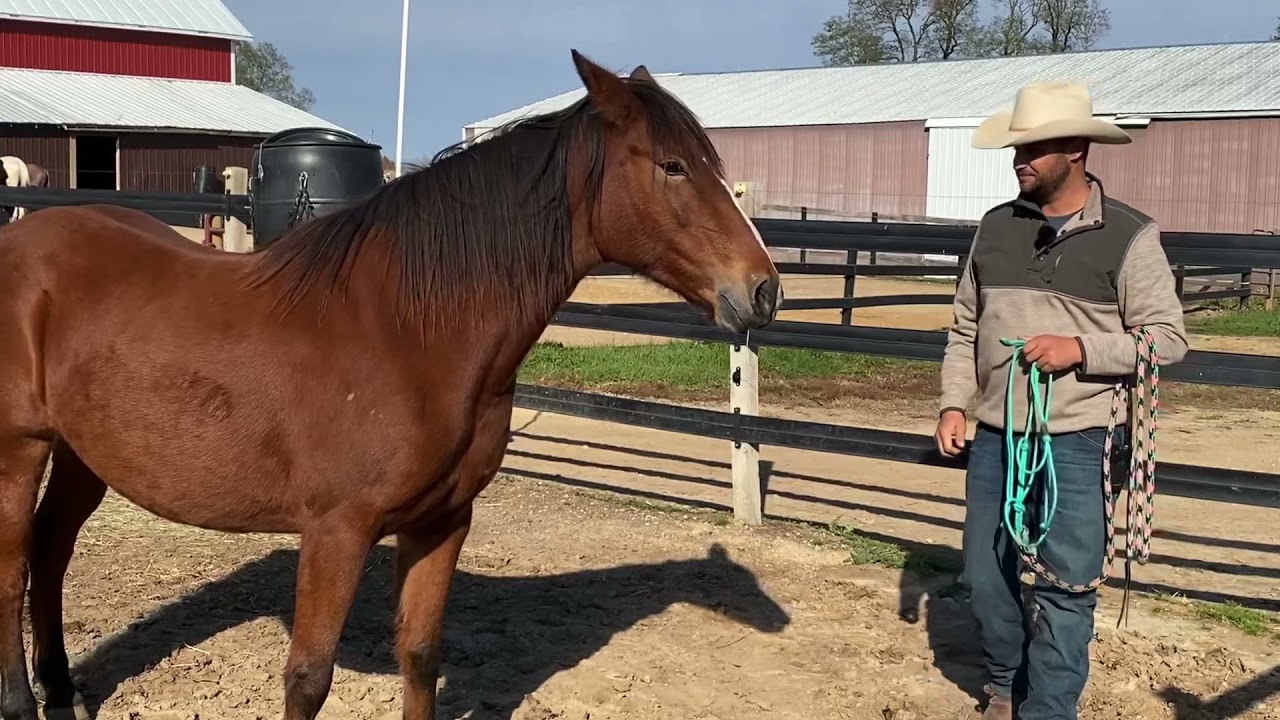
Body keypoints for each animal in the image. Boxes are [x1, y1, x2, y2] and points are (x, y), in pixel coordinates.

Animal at [0, 49, 781, 720]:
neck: (411, 330)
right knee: (13, 568)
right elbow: (308, 679)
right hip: (20, 450)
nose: (763, 290)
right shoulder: (336, 531)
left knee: (50, 552)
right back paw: (21, 702)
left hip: (85, 455)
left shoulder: (442, 522)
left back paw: (64, 693)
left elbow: (421, 656)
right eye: (674, 165)